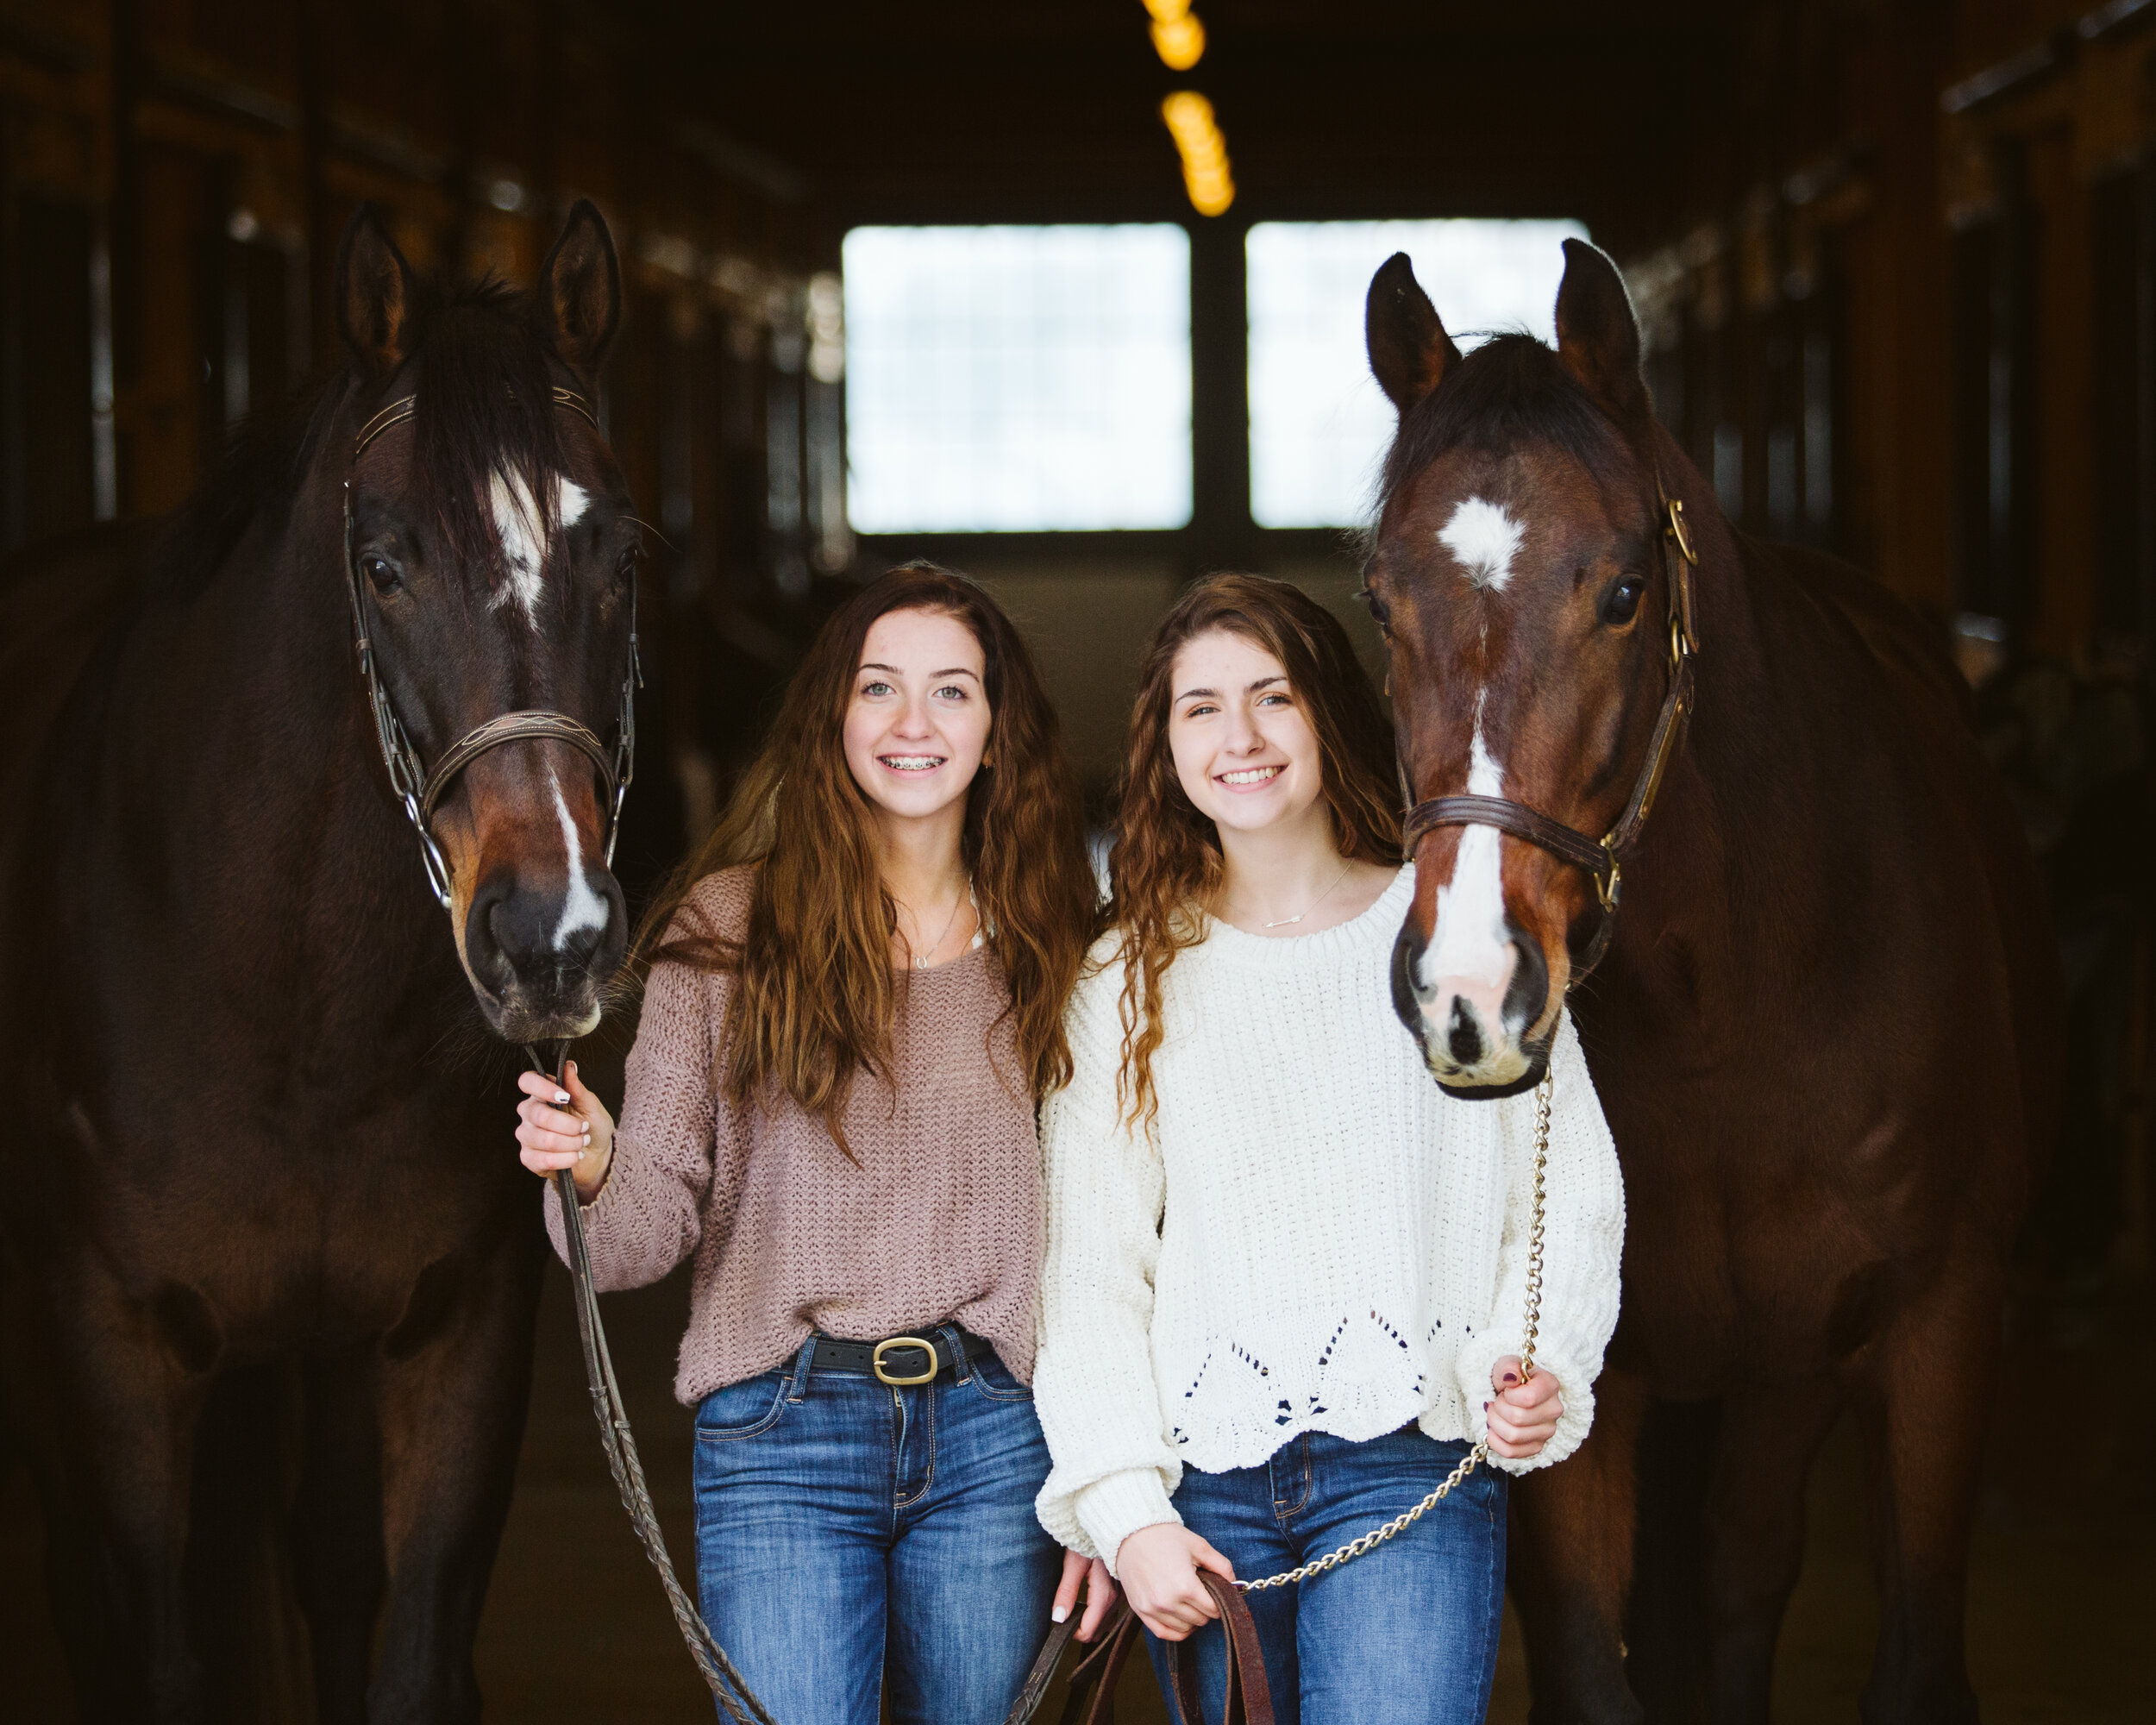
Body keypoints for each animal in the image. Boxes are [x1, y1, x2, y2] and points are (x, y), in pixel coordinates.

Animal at [0, 198, 638, 1708]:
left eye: (621, 558)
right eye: (386, 565)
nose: (554, 937)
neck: (290, 1008)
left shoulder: (449, 1333)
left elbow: (400, 1650)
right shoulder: (114, 1347)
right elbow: (162, 1656)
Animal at [1363, 242, 2053, 1725]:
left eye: (1624, 593)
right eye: (1382, 603)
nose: (1469, 991)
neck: (1731, 1010)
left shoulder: (1936, 1331)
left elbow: (1907, 1644)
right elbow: (1590, 1652)